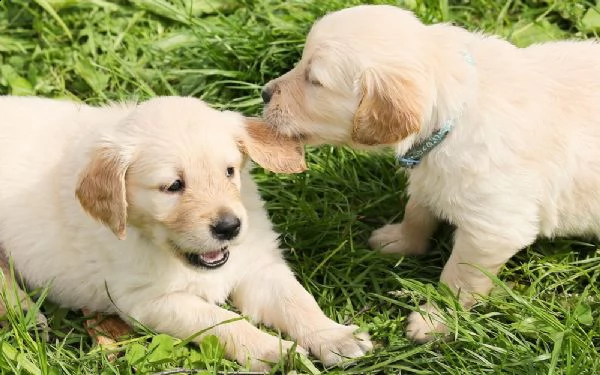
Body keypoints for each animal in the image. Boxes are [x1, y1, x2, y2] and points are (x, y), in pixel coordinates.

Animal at [0, 96, 372, 370]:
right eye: (173, 186)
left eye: (229, 171)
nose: (229, 227)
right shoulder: (150, 301)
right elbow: (222, 320)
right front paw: (273, 351)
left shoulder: (258, 266)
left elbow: (298, 301)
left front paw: (335, 337)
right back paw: (24, 312)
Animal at [260, 3, 600, 344]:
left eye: (314, 80)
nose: (264, 93)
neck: (452, 116)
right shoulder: (428, 175)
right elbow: (417, 212)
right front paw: (400, 241)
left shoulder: (492, 229)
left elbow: (458, 279)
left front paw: (436, 320)